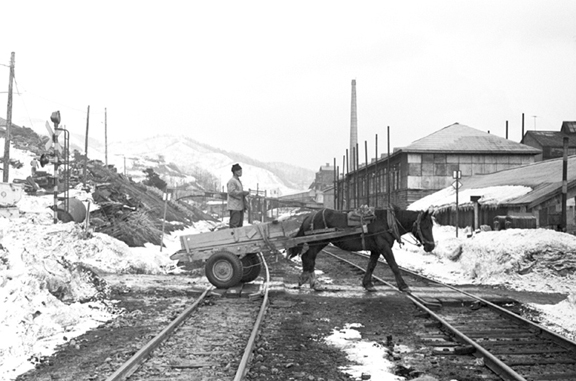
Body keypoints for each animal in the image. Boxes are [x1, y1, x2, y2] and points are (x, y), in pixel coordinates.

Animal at [290, 206, 434, 290]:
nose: (431, 246)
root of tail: (309, 216)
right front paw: (403, 285)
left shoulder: (376, 249)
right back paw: (311, 281)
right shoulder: (384, 247)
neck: (388, 222)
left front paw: (367, 284)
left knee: (309, 257)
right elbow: (393, 265)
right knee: (308, 257)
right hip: (318, 242)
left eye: (432, 225)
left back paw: (309, 281)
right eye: (426, 226)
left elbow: (371, 265)